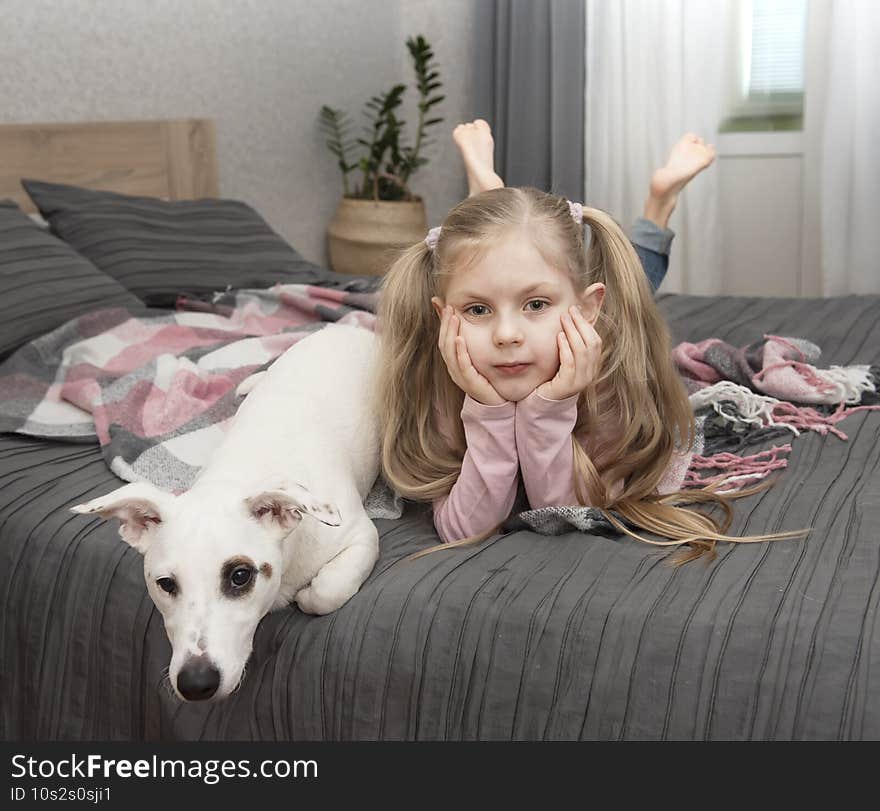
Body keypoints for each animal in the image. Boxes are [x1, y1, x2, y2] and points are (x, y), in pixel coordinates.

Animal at [70, 326, 380, 700]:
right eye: (165, 584)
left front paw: (308, 594)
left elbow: (328, 590)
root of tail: (348, 328)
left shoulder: (360, 535)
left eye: (240, 576)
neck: (242, 470)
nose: (195, 683)